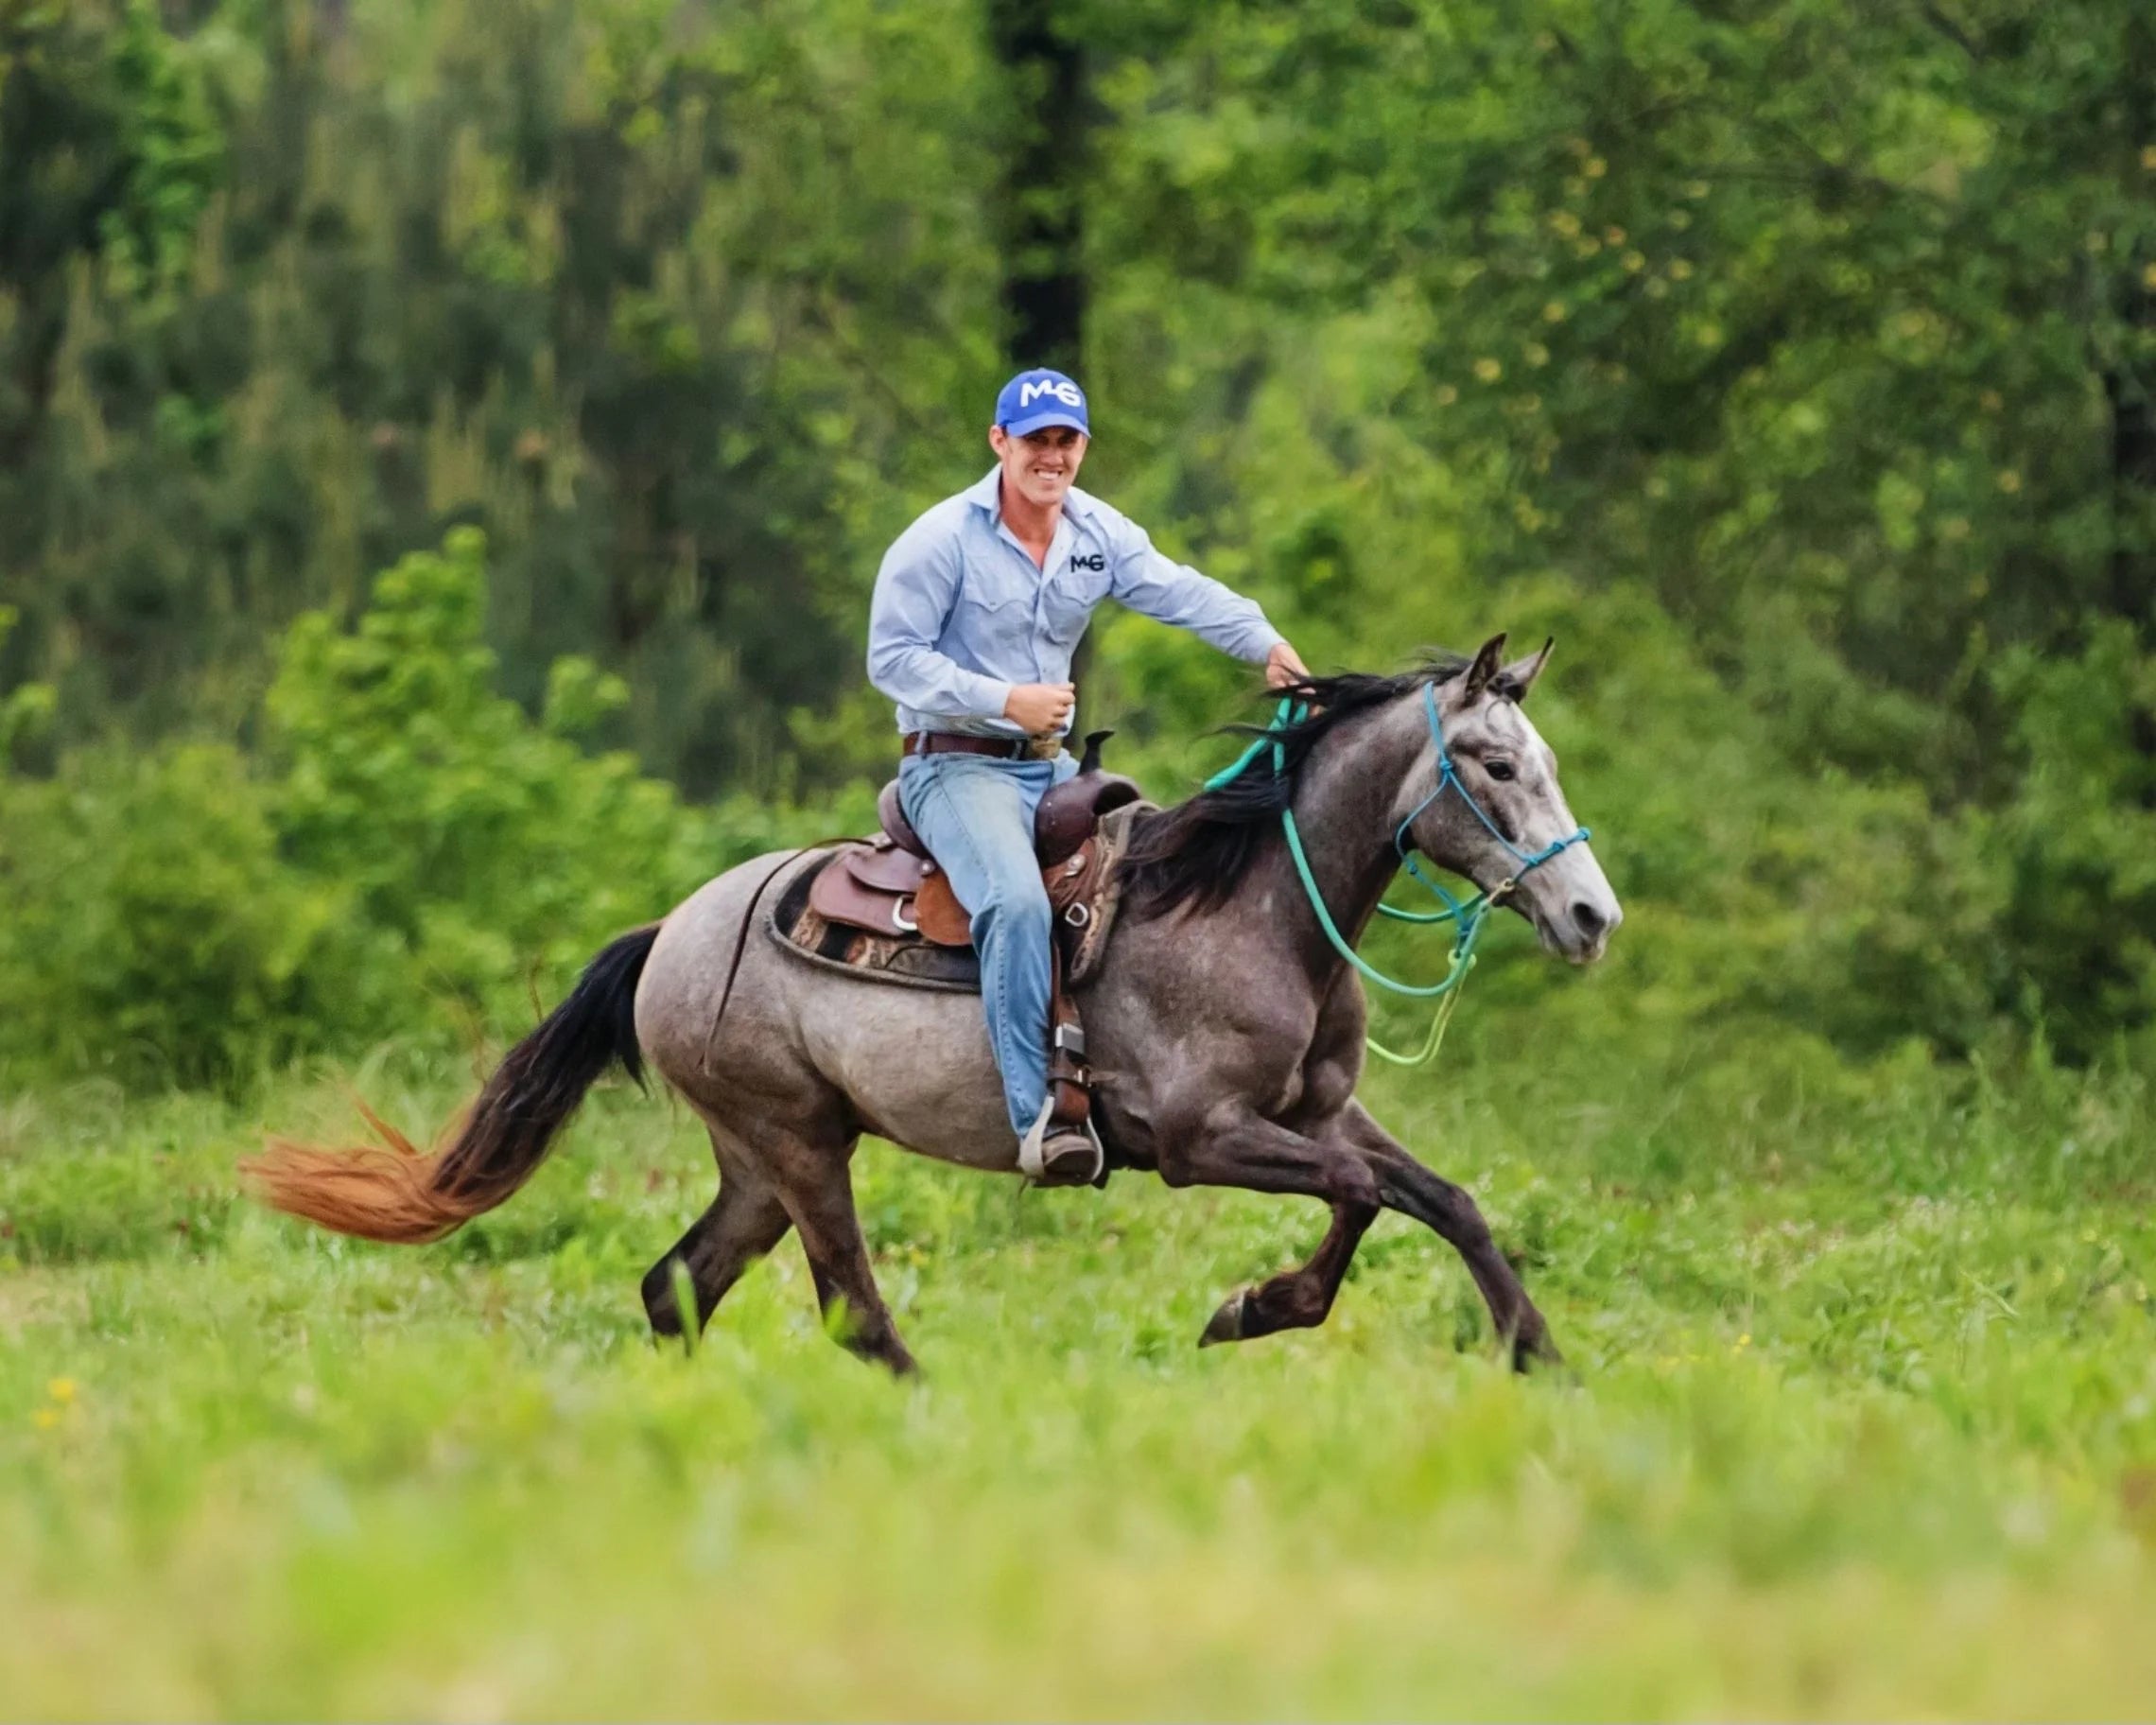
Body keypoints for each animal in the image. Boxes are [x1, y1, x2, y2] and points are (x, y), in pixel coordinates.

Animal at [246, 633, 1622, 1373]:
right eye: (1494, 765)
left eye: (1547, 760)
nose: (1592, 918)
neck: (1250, 907)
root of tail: (670, 934)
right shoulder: (1203, 1139)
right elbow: (1360, 1199)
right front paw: (1252, 1311)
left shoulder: (1320, 1112)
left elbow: (1436, 1198)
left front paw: (1536, 1353)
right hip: (800, 1145)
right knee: (849, 1308)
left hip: (758, 1161)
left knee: (676, 1286)